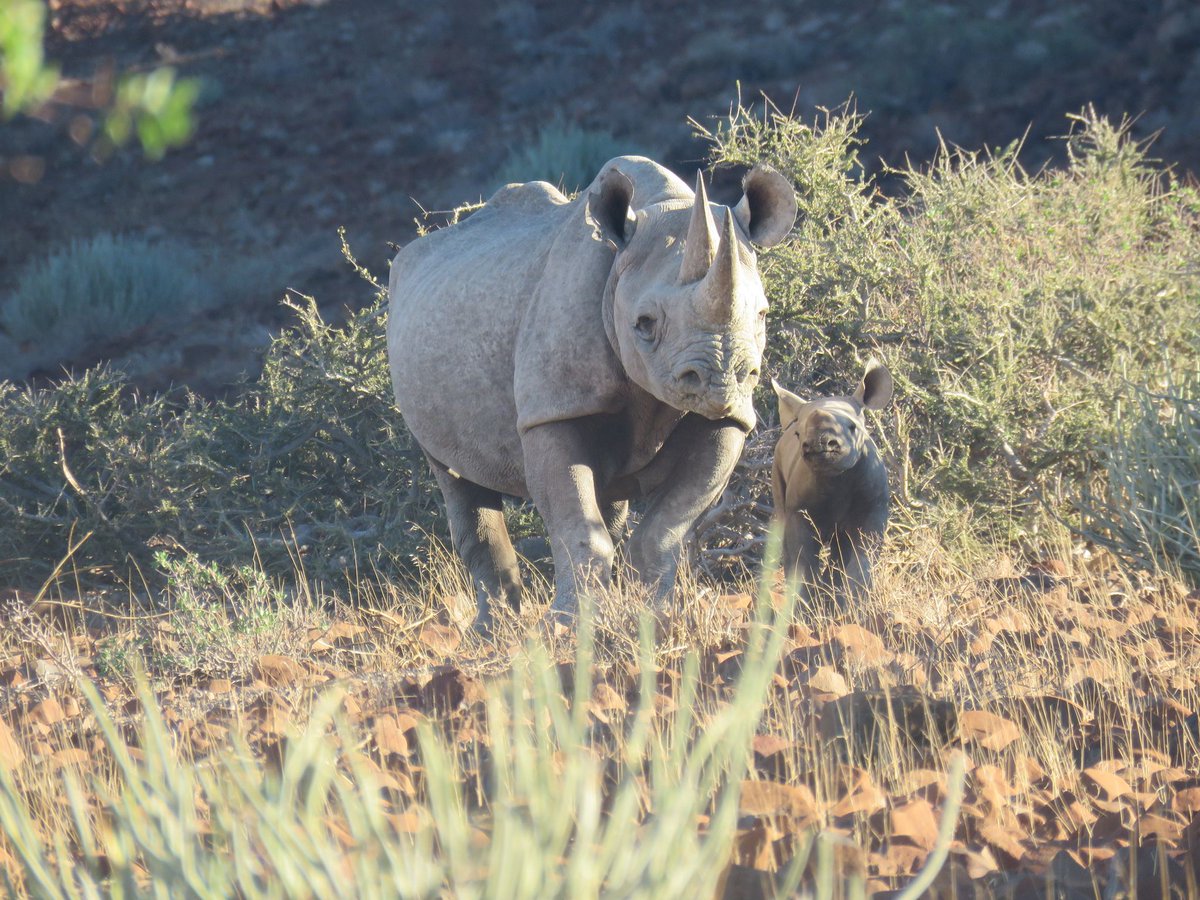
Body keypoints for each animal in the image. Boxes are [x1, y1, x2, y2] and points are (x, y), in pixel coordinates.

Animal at [387, 156, 797, 631]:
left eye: (763, 316)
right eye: (644, 324)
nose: (721, 381)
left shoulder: (729, 420)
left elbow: (666, 527)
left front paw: (656, 616)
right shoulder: (554, 409)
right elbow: (577, 528)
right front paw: (566, 627)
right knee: (455, 476)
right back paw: (493, 633)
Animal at [770, 360, 893, 601]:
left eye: (853, 427)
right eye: (798, 434)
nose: (820, 442)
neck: (837, 477)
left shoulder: (873, 509)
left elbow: (862, 558)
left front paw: (855, 603)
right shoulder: (799, 512)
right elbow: (802, 557)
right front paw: (806, 605)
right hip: (777, 465)